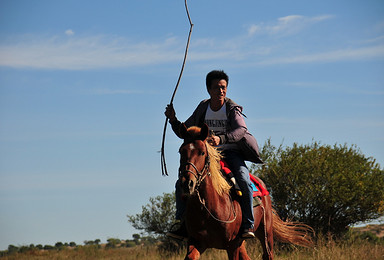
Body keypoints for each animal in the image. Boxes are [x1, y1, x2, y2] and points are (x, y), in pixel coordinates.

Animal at [178, 124, 314, 260]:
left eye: (202, 152)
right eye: (181, 151)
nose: (187, 183)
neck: (209, 207)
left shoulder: (232, 245)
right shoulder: (196, 242)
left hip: (266, 235)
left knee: (268, 254)